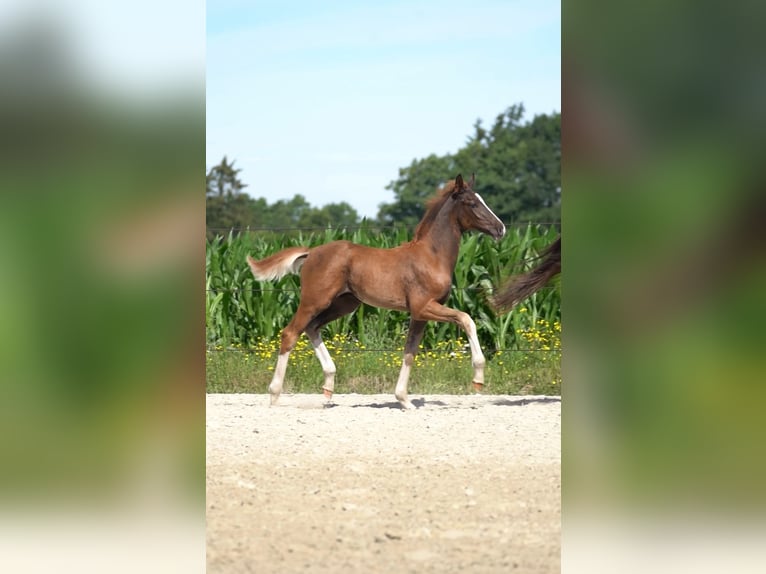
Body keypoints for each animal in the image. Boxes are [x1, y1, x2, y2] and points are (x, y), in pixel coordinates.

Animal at [249, 173, 508, 412]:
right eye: (472, 203)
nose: (501, 229)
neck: (431, 256)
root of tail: (311, 252)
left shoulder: (419, 315)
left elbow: (410, 352)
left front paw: (404, 400)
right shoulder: (424, 307)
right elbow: (467, 319)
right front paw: (478, 377)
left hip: (343, 304)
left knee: (312, 328)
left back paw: (329, 385)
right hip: (314, 301)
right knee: (290, 333)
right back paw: (274, 395)